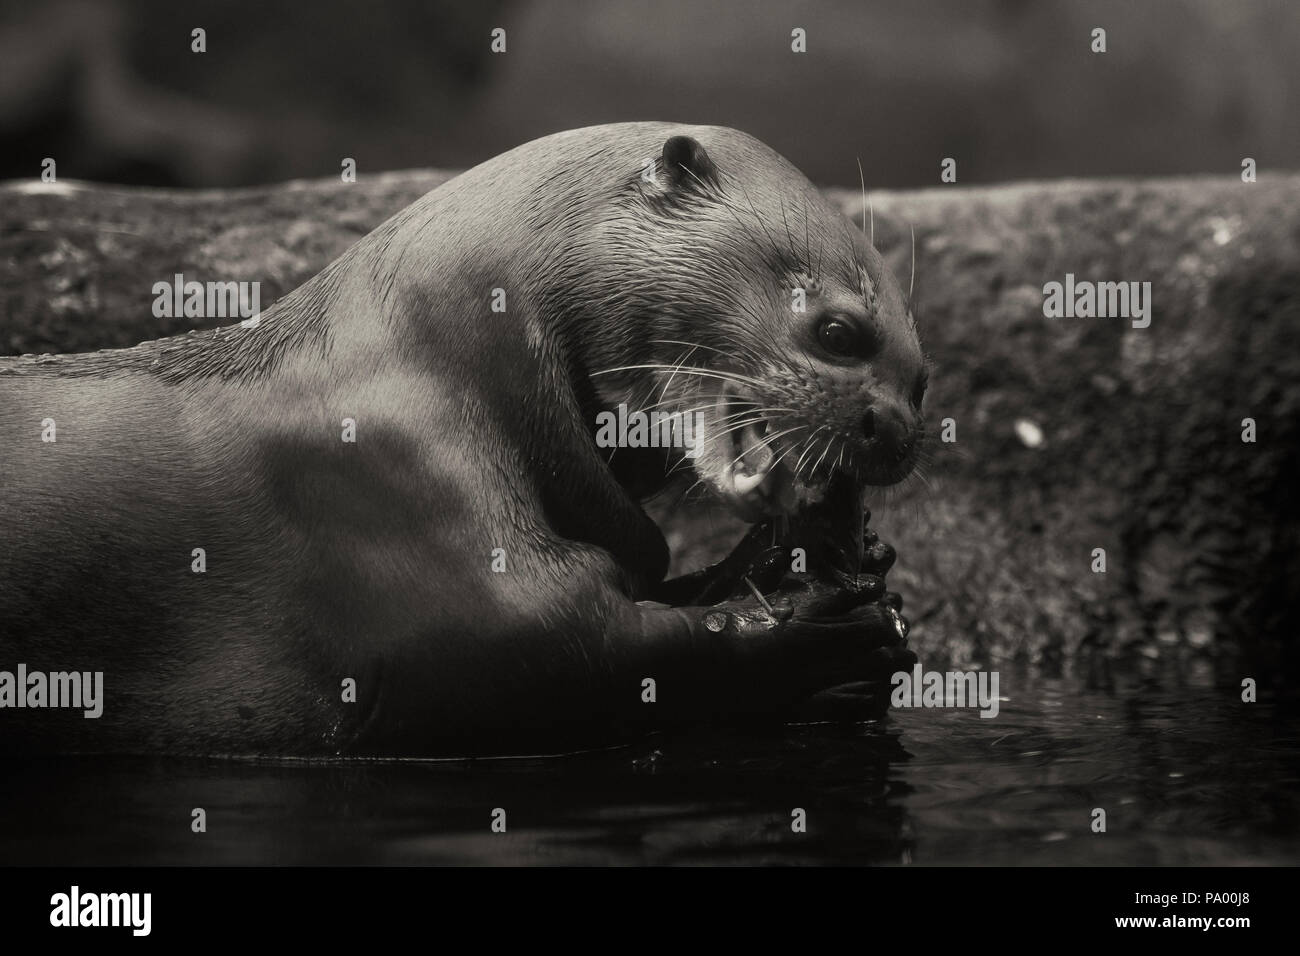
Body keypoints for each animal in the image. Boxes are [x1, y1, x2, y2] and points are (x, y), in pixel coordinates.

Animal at [2, 121, 935, 754]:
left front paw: (813, 560)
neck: (451, 350)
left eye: (923, 380)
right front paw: (827, 631)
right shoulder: (394, 483)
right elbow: (570, 644)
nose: (892, 428)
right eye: (838, 332)